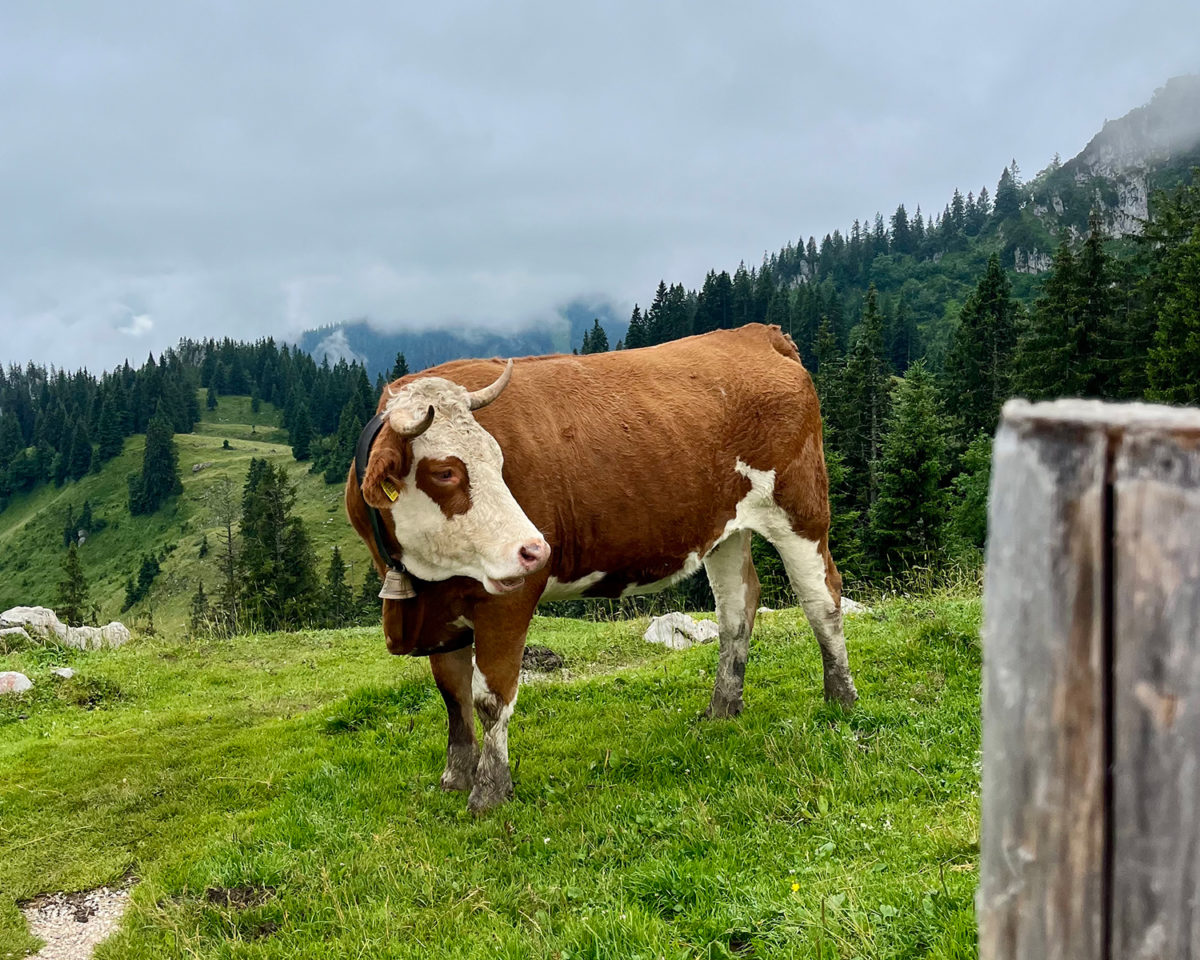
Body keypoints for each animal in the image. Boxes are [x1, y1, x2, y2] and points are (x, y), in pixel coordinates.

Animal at [343, 321, 859, 811]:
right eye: (445, 471)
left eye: (499, 459)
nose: (535, 550)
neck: (422, 582)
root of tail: (755, 335)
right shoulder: (441, 613)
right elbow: (452, 697)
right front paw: (455, 777)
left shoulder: (507, 601)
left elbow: (490, 698)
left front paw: (490, 791)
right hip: (726, 530)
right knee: (737, 608)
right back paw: (722, 708)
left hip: (801, 508)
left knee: (822, 598)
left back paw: (840, 698)